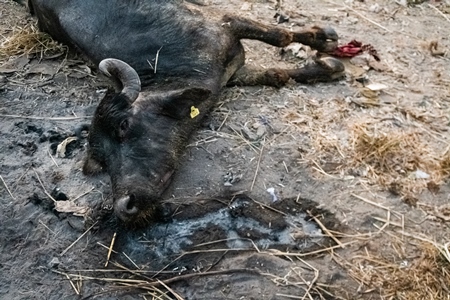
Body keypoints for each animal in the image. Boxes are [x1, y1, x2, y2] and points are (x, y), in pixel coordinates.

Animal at [21, 0, 342, 225]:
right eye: (102, 161)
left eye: (124, 125)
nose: (125, 206)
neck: (171, 61)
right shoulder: (234, 72)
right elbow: (277, 74)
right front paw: (327, 66)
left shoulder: (226, 24)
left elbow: (281, 36)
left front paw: (323, 42)